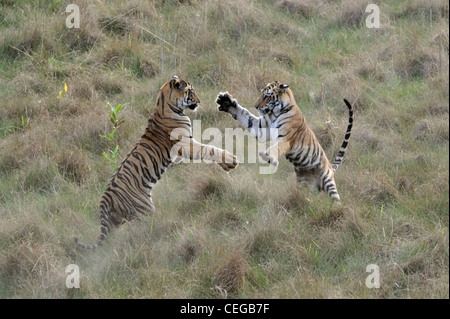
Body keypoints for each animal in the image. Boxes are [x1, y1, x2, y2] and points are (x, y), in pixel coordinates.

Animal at [74, 75, 239, 250]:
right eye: (191, 91)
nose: (199, 101)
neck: (164, 104)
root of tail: (105, 197)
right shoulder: (186, 145)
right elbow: (209, 148)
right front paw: (230, 160)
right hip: (145, 211)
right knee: (141, 229)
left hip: (115, 221)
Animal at [216, 82, 354, 202]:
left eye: (266, 96)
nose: (256, 106)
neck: (274, 113)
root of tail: (331, 167)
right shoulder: (260, 129)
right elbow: (244, 114)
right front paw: (226, 102)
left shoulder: (285, 139)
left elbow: (276, 148)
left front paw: (269, 157)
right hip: (305, 186)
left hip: (328, 180)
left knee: (336, 199)